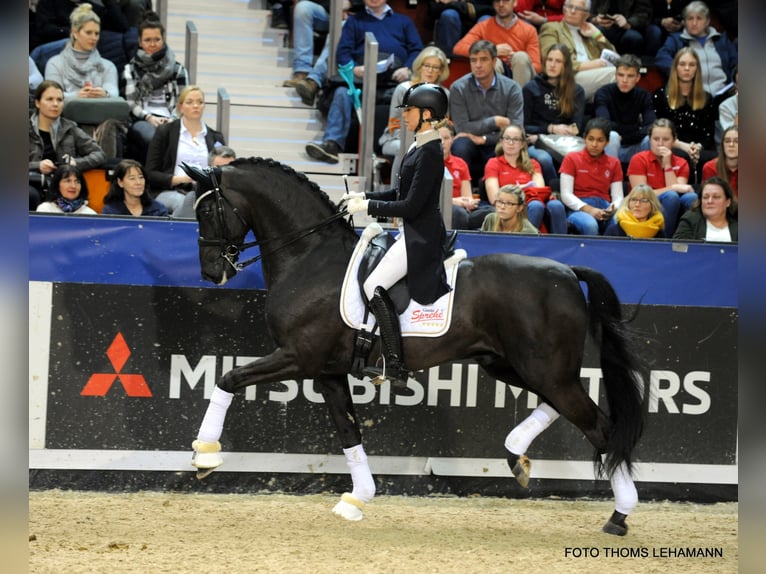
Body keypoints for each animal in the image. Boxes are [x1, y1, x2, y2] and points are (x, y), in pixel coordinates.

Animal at [186, 158, 648, 536]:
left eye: (206, 211)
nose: (211, 273)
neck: (310, 257)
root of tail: (568, 271)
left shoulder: (298, 358)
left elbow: (228, 379)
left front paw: (205, 457)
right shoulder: (327, 371)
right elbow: (348, 432)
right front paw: (357, 499)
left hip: (543, 367)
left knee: (599, 425)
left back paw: (619, 515)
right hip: (510, 364)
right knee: (564, 407)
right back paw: (517, 456)